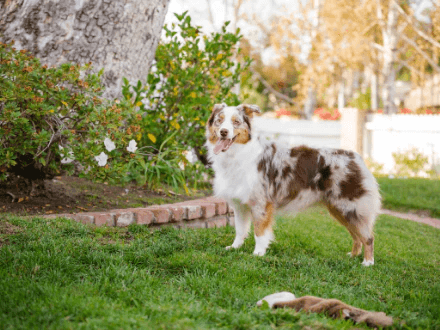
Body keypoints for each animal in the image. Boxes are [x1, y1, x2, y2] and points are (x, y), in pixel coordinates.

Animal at [205, 103, 380, 266]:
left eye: (236, 122)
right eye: (219, 120)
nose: (223, 132)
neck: (236, 154)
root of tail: (355, 157)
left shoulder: (261, 203)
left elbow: (259, 232)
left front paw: (258, 254)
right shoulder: (239, 204)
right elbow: (240, 230)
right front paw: (234, 248)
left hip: (351, 207)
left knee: (368, 237)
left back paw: (368, 262)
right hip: (339, 209)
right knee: (356, 236)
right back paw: (353, 256)